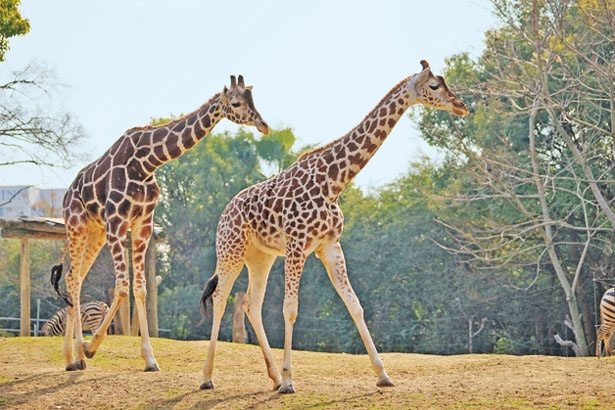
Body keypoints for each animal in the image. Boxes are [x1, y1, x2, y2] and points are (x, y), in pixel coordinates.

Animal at [50, 73, 268, 372]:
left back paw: (74, 358)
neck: (146, 162)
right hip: (77, 225)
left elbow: (140, 288)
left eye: (253, 99)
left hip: (95, 232)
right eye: (236, 103)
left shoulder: (143, 223)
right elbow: (122, 287)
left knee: (75, 277)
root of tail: (67, 192)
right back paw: (75, 355)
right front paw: (91, 347)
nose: (264, 125)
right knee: (73, 279)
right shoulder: (117, 221)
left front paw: (150, 359)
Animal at [200, 60, 470, 394]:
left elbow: (355, 305)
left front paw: (383, 374)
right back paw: (209, 377)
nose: (461, 106)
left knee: (251, 304)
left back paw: (272, 377)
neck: (334, 182)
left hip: (260, 257)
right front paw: (290, 381)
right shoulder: (297, 245)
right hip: (231, 251)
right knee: (220, 298)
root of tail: (223, 214)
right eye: (434, 86)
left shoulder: (329, 245)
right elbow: (291, 309)